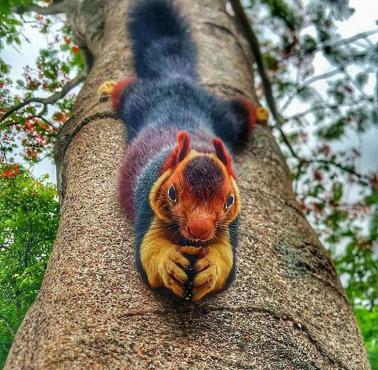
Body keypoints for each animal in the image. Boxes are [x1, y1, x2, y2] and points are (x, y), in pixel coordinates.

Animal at [99, 0, 268, 300]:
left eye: (229, 200)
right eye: (172, 193)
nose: (199, 230)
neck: (199, 150)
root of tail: (177, 80)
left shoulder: (231, 224)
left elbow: (226, 258)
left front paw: (211, 267)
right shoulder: (148, 199)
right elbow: (148, 251)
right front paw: (169, 263)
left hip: (223, 116)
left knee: (240, 114)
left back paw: (258, 112)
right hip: (140, 99)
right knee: (127, 90)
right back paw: (110, 87)